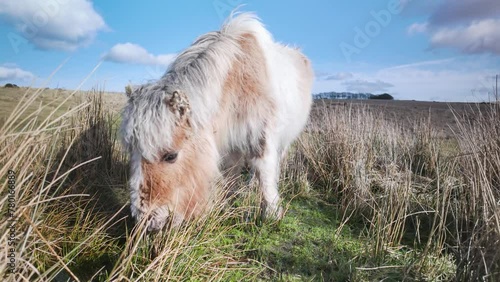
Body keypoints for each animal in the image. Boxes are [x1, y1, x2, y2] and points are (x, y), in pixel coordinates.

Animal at [120, 12, 312, 231]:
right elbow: (232, 174)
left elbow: (265, 173)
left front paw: (271, 213)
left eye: (171, 156)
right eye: (131, 152)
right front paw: (228, 204)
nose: (147, 222)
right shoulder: (232, 142)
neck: (238, 80)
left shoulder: (262, 136)